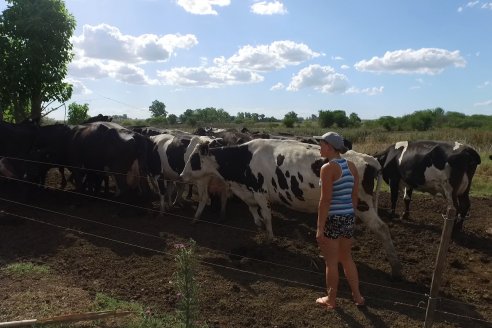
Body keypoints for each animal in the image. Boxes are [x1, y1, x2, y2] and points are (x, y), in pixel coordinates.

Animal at [179, 138, 402, 276]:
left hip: (363, 205)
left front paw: (269, 239)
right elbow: (255, 214)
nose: (181, 175)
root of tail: (369, 159)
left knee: (382, 228)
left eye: (194, 159)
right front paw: (260, 227)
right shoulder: (249, 193)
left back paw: (396, 268)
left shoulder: (260, 192)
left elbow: (267, 217)